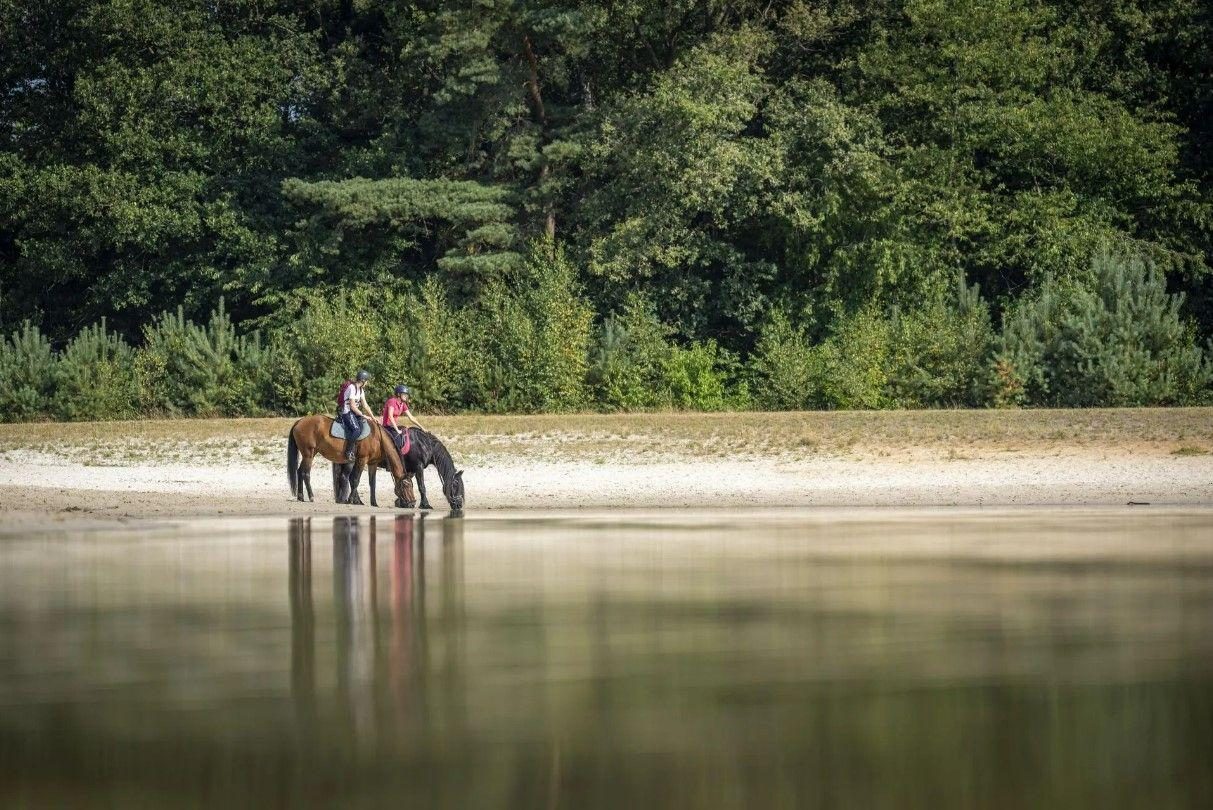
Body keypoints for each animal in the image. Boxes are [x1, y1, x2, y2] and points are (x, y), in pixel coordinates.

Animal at [286, 417, 414, 506]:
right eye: (406, 486)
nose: (412, 503)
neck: (378, 438)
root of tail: (299, 421)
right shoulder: (361, 460)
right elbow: (355, 480)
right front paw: (352, 500)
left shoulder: (372, 464)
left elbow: (372, 483)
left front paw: (373, 503)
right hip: (309, 454)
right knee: (305, 473)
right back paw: (311, 497)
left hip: (308, 455)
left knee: (299, 472)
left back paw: (300, 496)